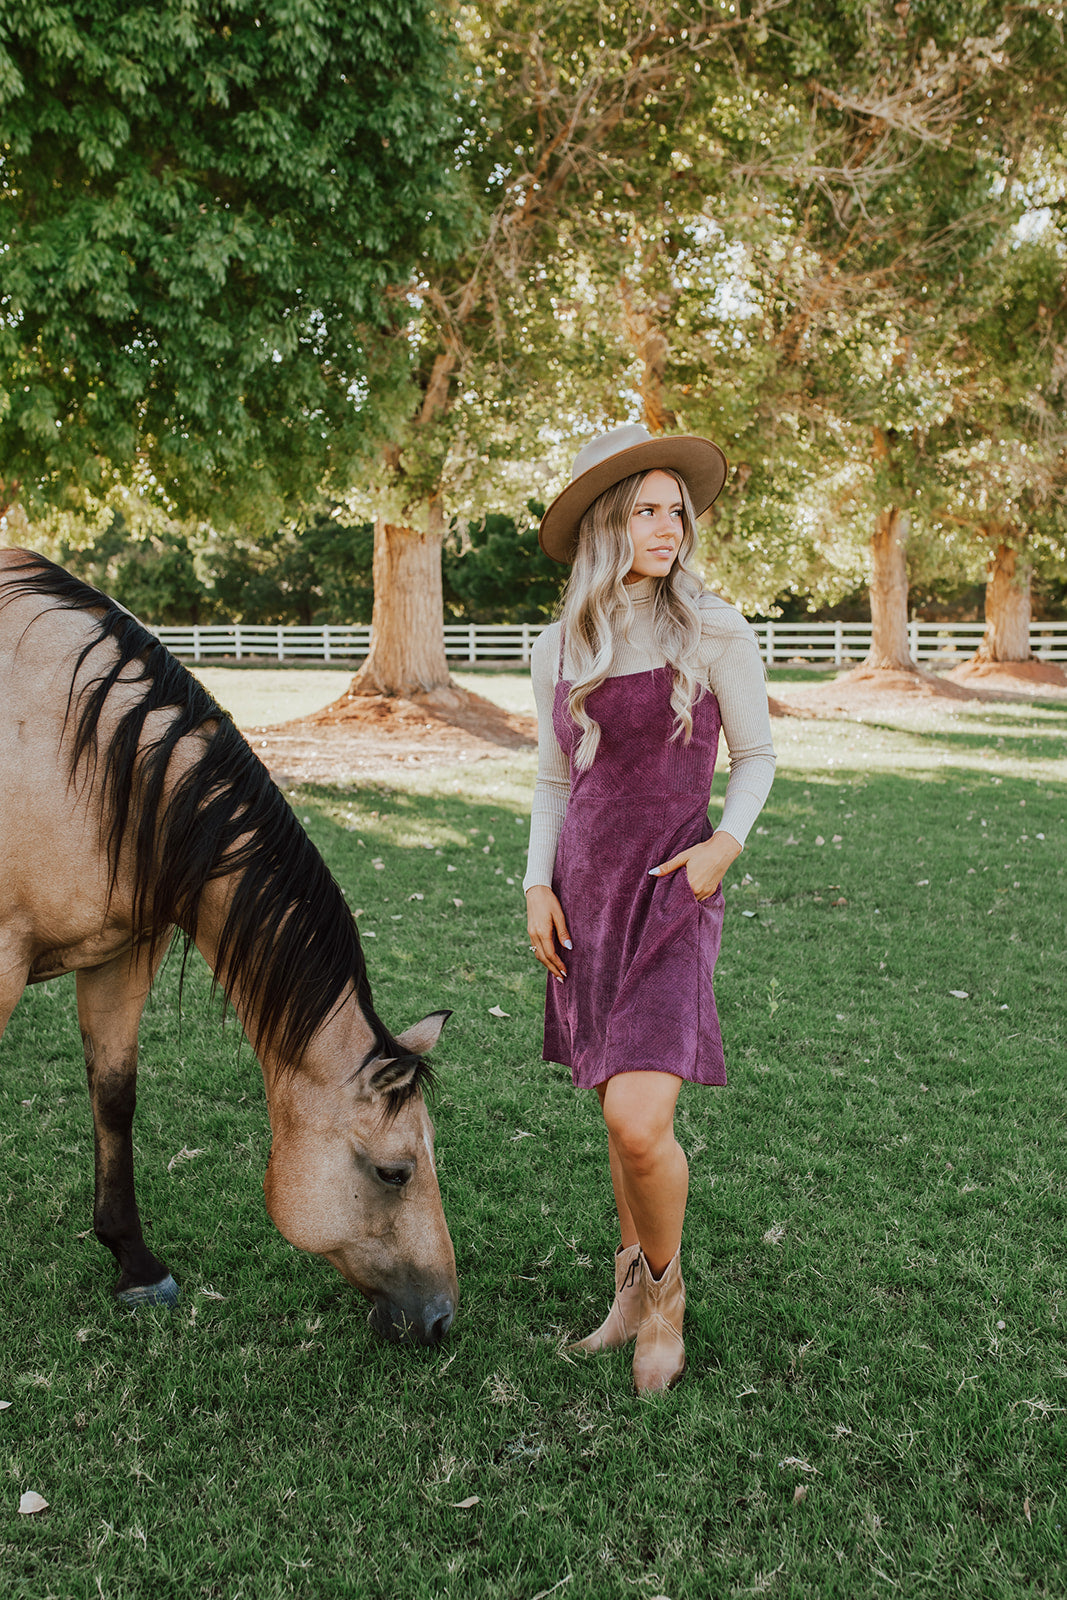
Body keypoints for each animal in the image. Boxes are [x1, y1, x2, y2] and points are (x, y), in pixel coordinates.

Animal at [0, 544, 460, 1344]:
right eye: (394, 1172)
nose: (442, 1319)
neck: (75, 756)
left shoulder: (123, 952)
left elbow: (114, 1095)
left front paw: (136, 1264)